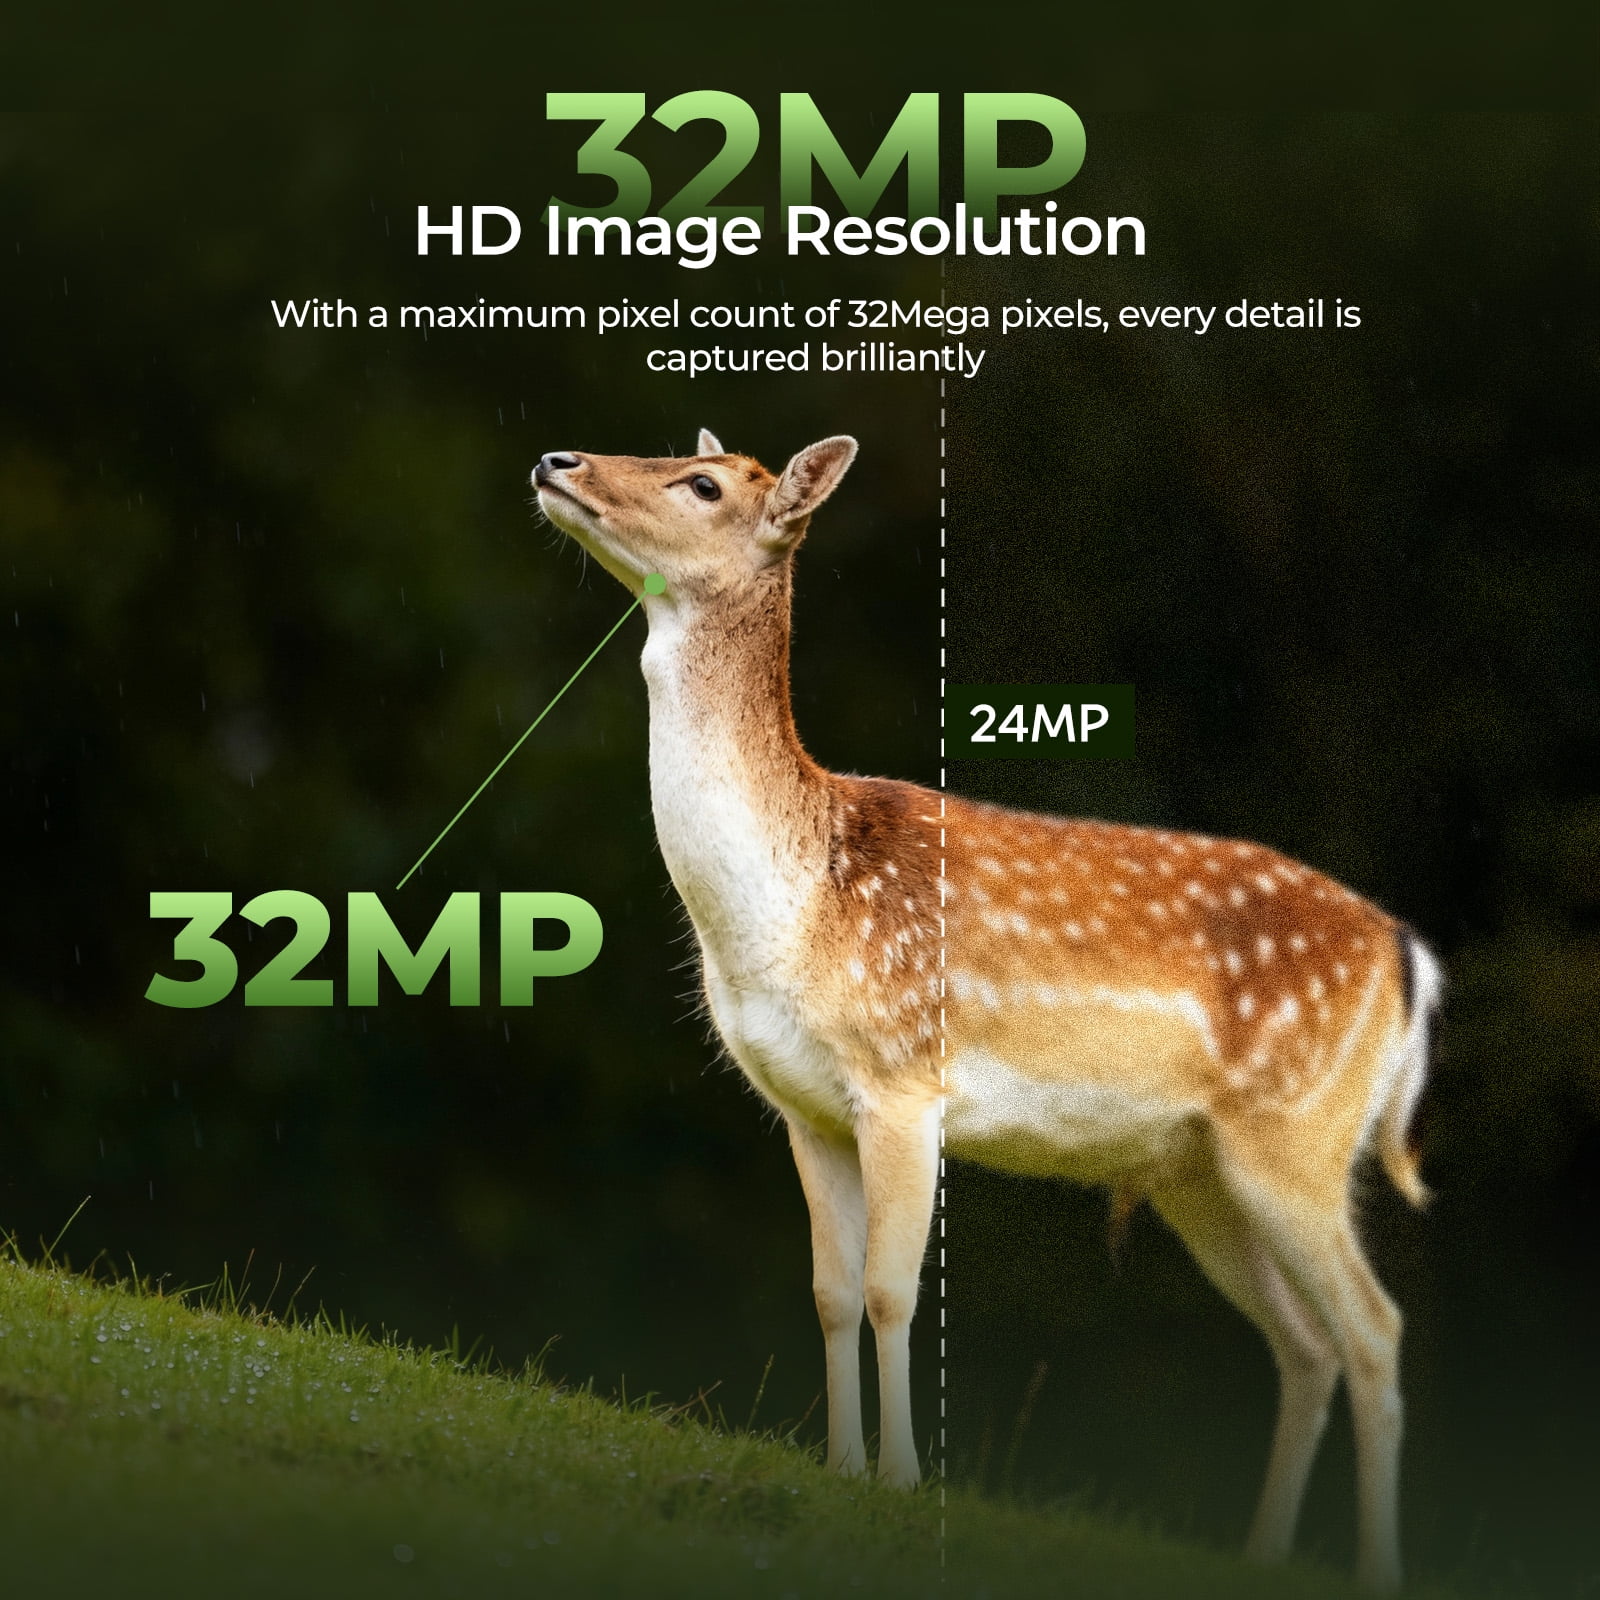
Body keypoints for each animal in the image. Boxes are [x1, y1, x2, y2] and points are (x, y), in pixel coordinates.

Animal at [532, 429, 1442, 1592]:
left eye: (703, 484)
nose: (558, 460)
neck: (791, 904)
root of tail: (1405, 955)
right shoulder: (803, 1106)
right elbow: (831, 1290)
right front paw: (838, 1467)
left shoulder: (904, 1077)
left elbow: (891, 1289)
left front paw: (901, 1481)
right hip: (1201, 1171)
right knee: (1308, 1343)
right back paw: (1261, 1554)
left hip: (1298, 1136)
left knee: (1375, 1328)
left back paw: (1373, 1567)